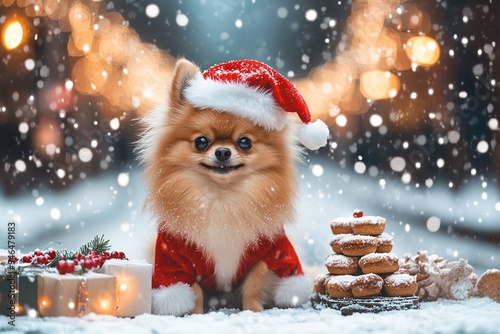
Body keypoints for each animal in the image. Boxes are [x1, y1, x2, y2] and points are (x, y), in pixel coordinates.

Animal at [136, 58, 328, 316]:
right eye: (201, 142)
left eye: (245, 142)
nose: (223, 152)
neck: (222, 198)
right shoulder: (174, 258)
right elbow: (193, 290)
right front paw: (195, 314)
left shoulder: (271, 253)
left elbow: (253, 284)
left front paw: (253, 310)